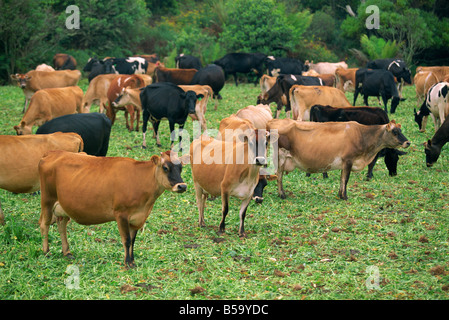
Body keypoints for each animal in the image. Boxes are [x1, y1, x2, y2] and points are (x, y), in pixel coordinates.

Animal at [37, 150, 187, 268]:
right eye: (165, 167)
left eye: (181, 167)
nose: (182, 186)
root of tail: (51, 153)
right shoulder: (121, 213)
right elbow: (126, 240)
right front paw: (127, 263)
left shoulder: (137, 218)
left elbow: (133, 241)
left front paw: (132, 261)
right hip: (47, 200)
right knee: (44, 224)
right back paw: (46, 251)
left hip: (63, 206)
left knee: (61, 225)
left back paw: (67, 252)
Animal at [266, 119, 410, 200]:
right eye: (395, 132)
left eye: (401, 130)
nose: (407, 142)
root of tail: (273, 121)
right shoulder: (348, 160)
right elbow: (346, 179)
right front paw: (345, 197)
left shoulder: (344, 163)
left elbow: (342, 179)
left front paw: (340, 195)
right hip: (281, 157)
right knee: (279, 175)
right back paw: (282, 195)